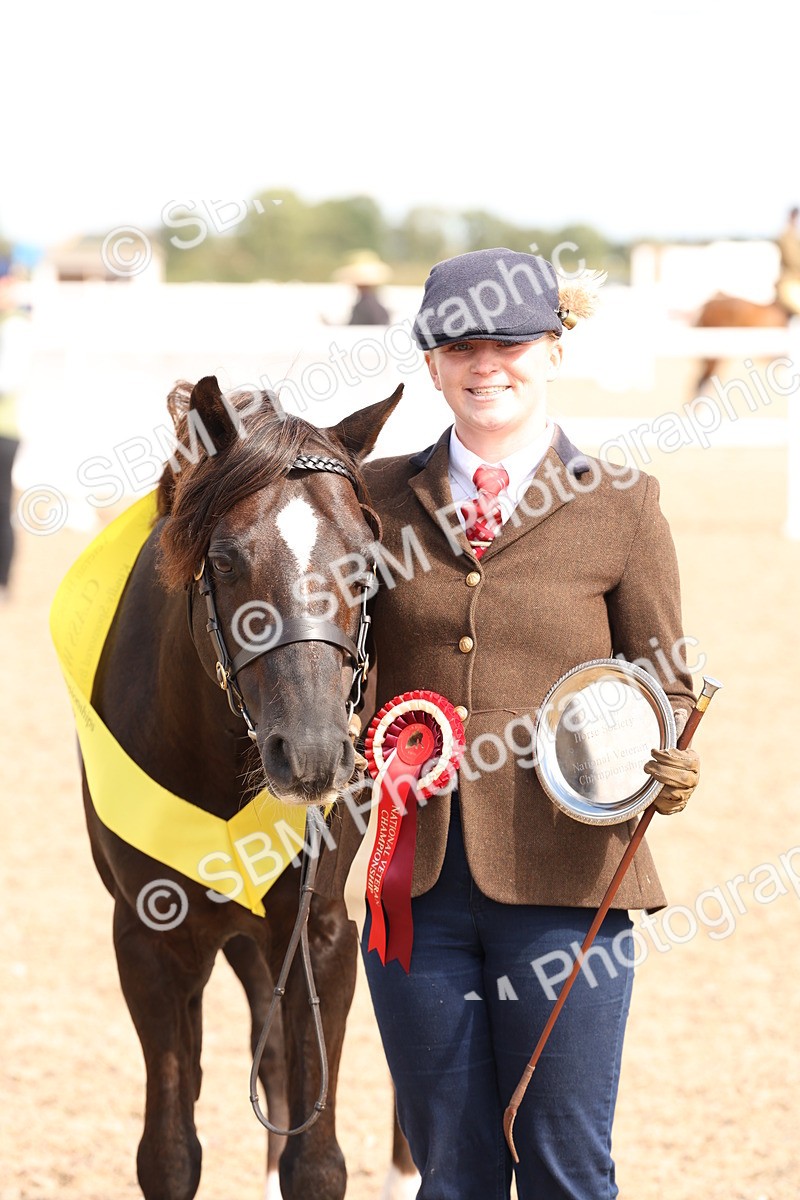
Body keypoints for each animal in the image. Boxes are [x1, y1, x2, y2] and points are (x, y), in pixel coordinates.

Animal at [80, 375, 402, 1200]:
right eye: (224, 560)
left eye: (365, 562)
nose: (313, 753)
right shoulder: (150, 939)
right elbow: (168, 1153)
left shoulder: (319, 928)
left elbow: (316, 1161)